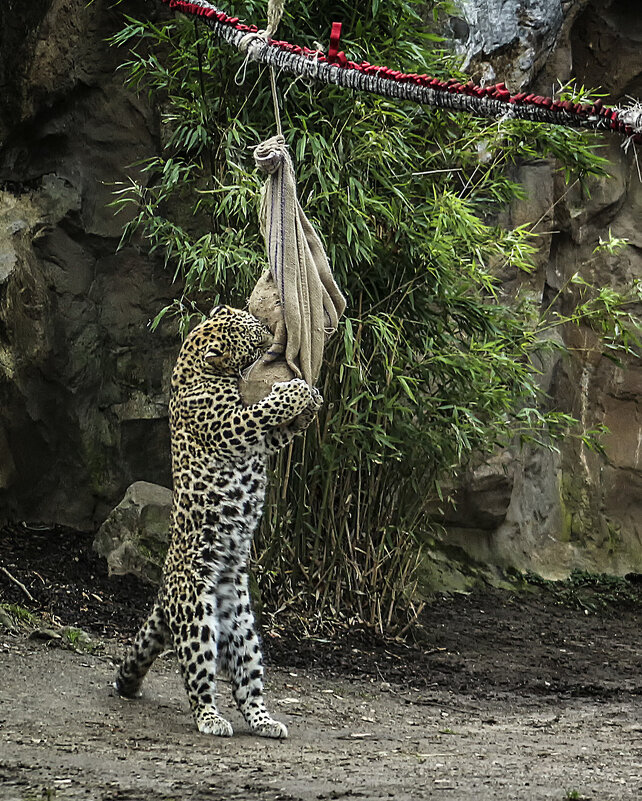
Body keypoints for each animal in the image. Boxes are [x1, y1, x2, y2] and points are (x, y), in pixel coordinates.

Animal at [114, 304, 320, 736]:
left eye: (256, 324)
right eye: (254, 337)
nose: (271, 337)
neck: (196, 363)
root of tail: (163, 592)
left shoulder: (260, 443)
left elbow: (282, 431)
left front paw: (310, 400)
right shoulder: (231, 427)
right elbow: (263, 412)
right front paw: (294, 392)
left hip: (243, 628)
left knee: (247, 684)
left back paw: (265, 722)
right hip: (197, 616)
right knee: (198, 678)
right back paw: (210, 719)